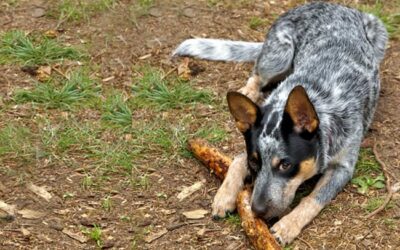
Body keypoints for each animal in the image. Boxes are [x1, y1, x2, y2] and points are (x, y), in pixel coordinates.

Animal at [173, 1, 388, 244]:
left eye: (285, 164)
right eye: (255, 162)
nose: (256, 211)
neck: (317, 98)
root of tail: (329, 5)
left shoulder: (343, 167)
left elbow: (313, 199)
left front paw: (287, 225)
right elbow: (237, 159)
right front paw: (225, 195)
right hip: (279, 55)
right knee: (257, 72)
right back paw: (249, 90)